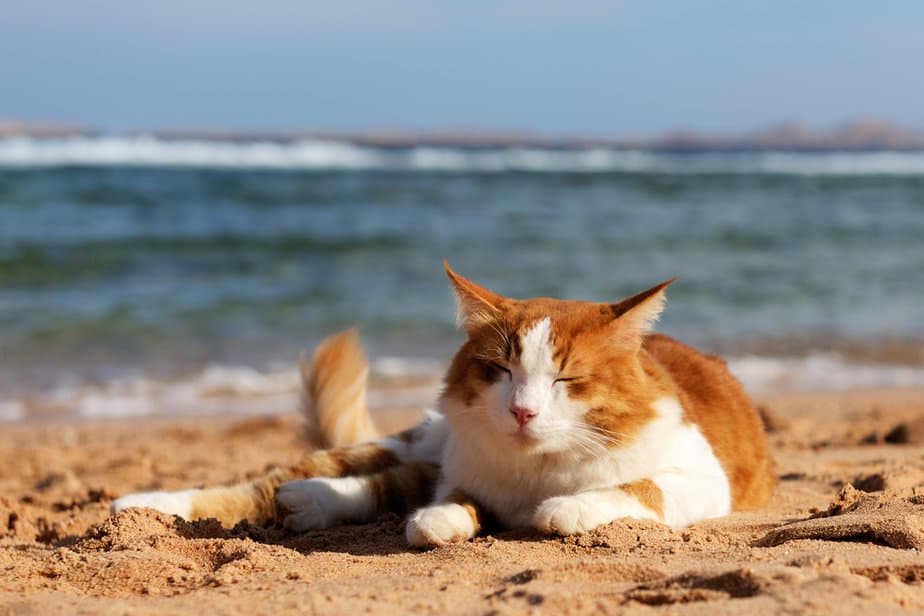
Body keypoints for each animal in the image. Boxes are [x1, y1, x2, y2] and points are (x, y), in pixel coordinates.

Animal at [110, 262, 772, 548]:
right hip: (414, 440)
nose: (523, 412)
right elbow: (449, 501)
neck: (536, 470)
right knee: (293, 480)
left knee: (379, 486)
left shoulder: (701, 477)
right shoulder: (460, 471)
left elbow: (634, 489)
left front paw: (566, 508)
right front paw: (444, 520)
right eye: (502, 371)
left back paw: (314, 506)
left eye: (566, 380)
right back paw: (144, 508)